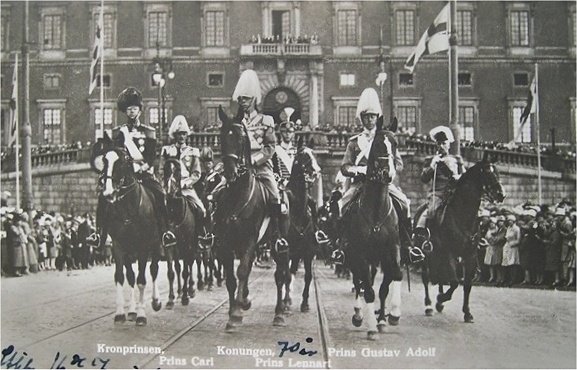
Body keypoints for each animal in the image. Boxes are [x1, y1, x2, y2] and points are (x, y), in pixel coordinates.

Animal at [90, 134, 162, 326]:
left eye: (122, 162)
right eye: (105, 161)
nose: (107, 193)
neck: (128, 209)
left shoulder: (144, 246)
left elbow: (142, 280)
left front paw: (142, 315)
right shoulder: (118, 246)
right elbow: (121, 276)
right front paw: (121, 313)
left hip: (156, 245)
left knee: (153, 270)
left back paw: (155, 302)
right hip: (130, 250)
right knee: (130, 275)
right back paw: (131, 311)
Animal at [216, 107, 276, 332]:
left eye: (241, 137)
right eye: (221, 136)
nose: (230, 173)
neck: (237, 196)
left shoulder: (250, 238)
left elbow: (242, 271)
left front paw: (237, 312)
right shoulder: (225, 242)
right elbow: (231, 278)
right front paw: (234, 310)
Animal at [340, 117, 402, 340]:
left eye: (395, 144)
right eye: (377, 145)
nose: (387, 174)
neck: (376, 211)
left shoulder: (391, 250)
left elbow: (390, 281)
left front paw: (389, 316)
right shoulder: (359, 254)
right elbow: (367, 289)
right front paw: (371, 327)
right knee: (359, 283)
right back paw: (359, 315)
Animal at [414, 152, 504, 320]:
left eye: (497, 171)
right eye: (487, 172)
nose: (501, 195)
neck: (463, 214)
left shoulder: (470, 255)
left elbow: (466, 284)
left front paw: (467, 312)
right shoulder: (449, 252)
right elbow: (455, 282)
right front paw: (441, 298)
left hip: (439, 254)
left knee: (440, 275)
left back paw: (438, 304)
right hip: (425, 254)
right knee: (426, 276)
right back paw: (429, 305)